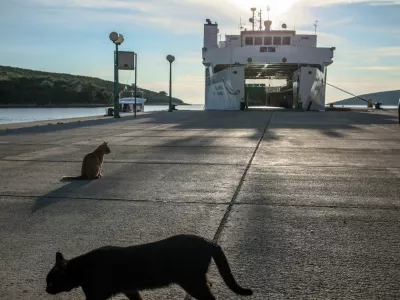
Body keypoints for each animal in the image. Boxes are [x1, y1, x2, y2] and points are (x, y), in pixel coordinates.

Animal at [45, 234, 252, 300]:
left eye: (51, 281)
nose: (46, 289)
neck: (82, 268)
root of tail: (209, 241)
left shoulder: (95, 295)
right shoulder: (131, 290)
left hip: (191, 281)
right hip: (196, 280)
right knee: (210, 286)